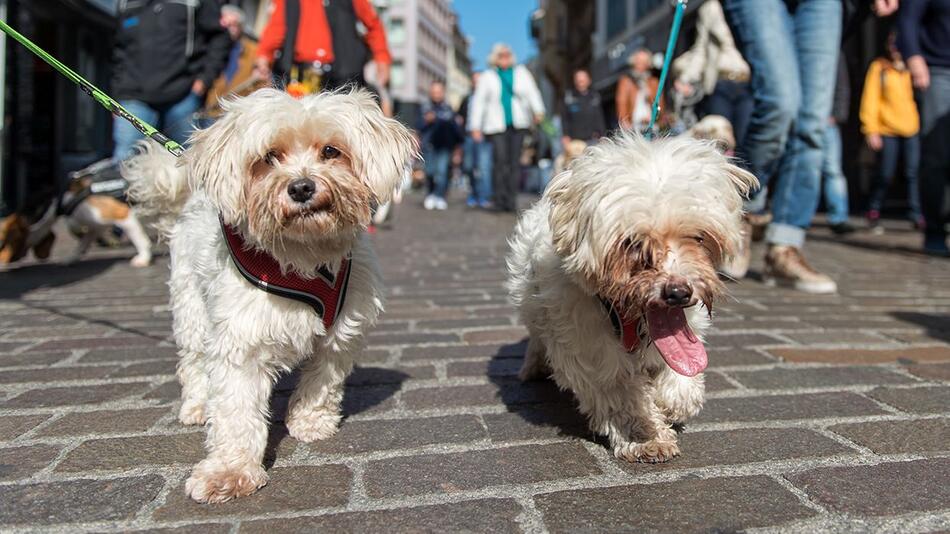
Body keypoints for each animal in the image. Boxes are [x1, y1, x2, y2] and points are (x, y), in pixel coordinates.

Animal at [124, 89, 414, 506]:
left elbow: (321, 382)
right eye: (269, 157)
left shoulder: (341, 334)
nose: (301, 187)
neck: (304, 255)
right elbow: (236, 412)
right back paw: (197, 404)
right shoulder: (239, 341)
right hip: (191, 307)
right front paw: (230, 471)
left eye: (331, 151)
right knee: (194, 362)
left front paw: (311, 421)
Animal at [506, 133, 760, 464]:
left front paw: (674, 401)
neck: (628, 319)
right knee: (537, 338)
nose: (678, 292)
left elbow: (680, 372)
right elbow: (621, 394)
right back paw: (533, 366)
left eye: (699, 237)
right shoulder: (590, 348)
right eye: (633, 243)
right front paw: (645, 436)